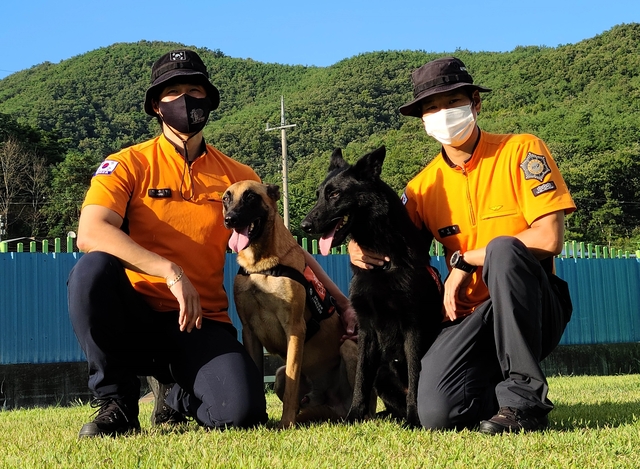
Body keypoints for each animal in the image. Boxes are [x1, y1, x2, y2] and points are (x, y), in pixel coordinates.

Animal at [222, 180, 358, 428]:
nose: (230, 219)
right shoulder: (249, 333)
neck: (261, 266)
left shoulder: (294, 329)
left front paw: (285, 422)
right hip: (278, 376)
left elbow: (292, 381)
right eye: (226, 198)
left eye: (250, 197)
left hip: (349, 347)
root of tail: (334, 407)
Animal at [298, 146, 440, 428]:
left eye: (335, 194)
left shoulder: (413, 327)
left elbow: (416, 375)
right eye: (319, 195)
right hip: (383, 371)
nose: (304, 226)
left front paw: (414, 419)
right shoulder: (366, 329)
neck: (384, 258)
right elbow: (361, 379)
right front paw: (353, 416)